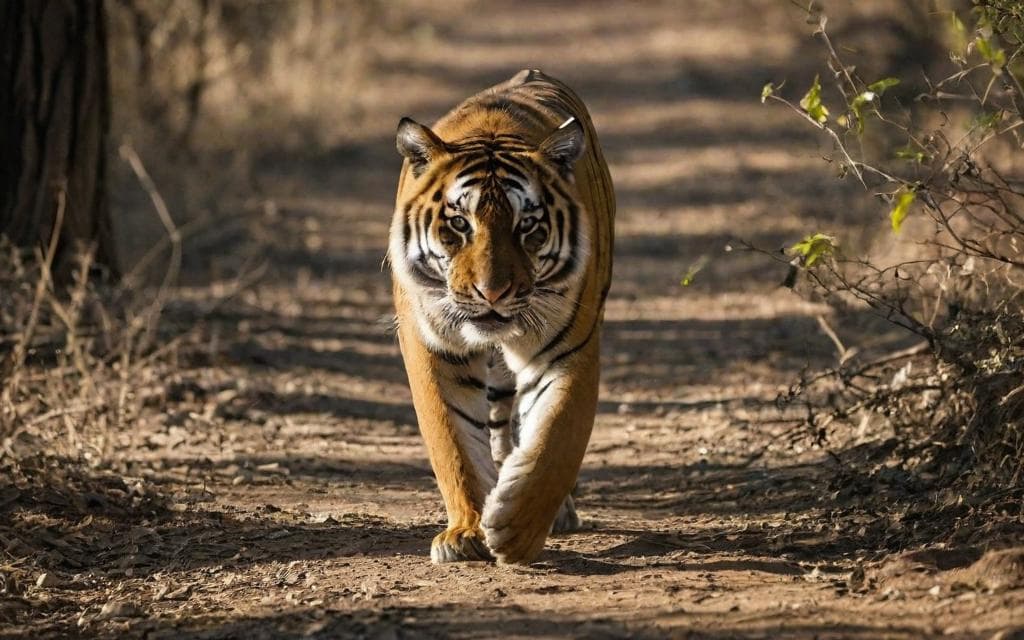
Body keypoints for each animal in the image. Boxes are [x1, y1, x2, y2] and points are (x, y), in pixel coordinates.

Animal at [388, 69, 614, 564]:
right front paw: (466, 531)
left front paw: (516, 530)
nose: (492, 292)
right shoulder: (435, 347)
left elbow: (556, 438)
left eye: (527, 226)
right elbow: (453, 442)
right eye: (459, 224)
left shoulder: (569, 347)